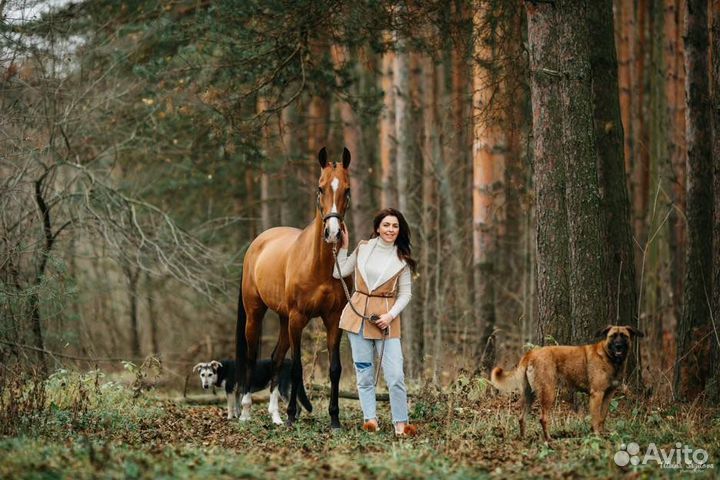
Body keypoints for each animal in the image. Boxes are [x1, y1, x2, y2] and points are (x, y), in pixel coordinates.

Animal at [236, 147, 351, 428]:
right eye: (320, 187)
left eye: (347, 189)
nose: (333, 233)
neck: (318, 265)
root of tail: (259, 242)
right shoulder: (299, 318)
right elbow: (298, 368)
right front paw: (291, 416)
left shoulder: (333, 320)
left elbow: (335, 369)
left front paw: (334, 419)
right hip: (256, 314)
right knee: (251, 356)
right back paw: (246, 411)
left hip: (284, 318)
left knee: (276, 357)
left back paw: (275, 415)